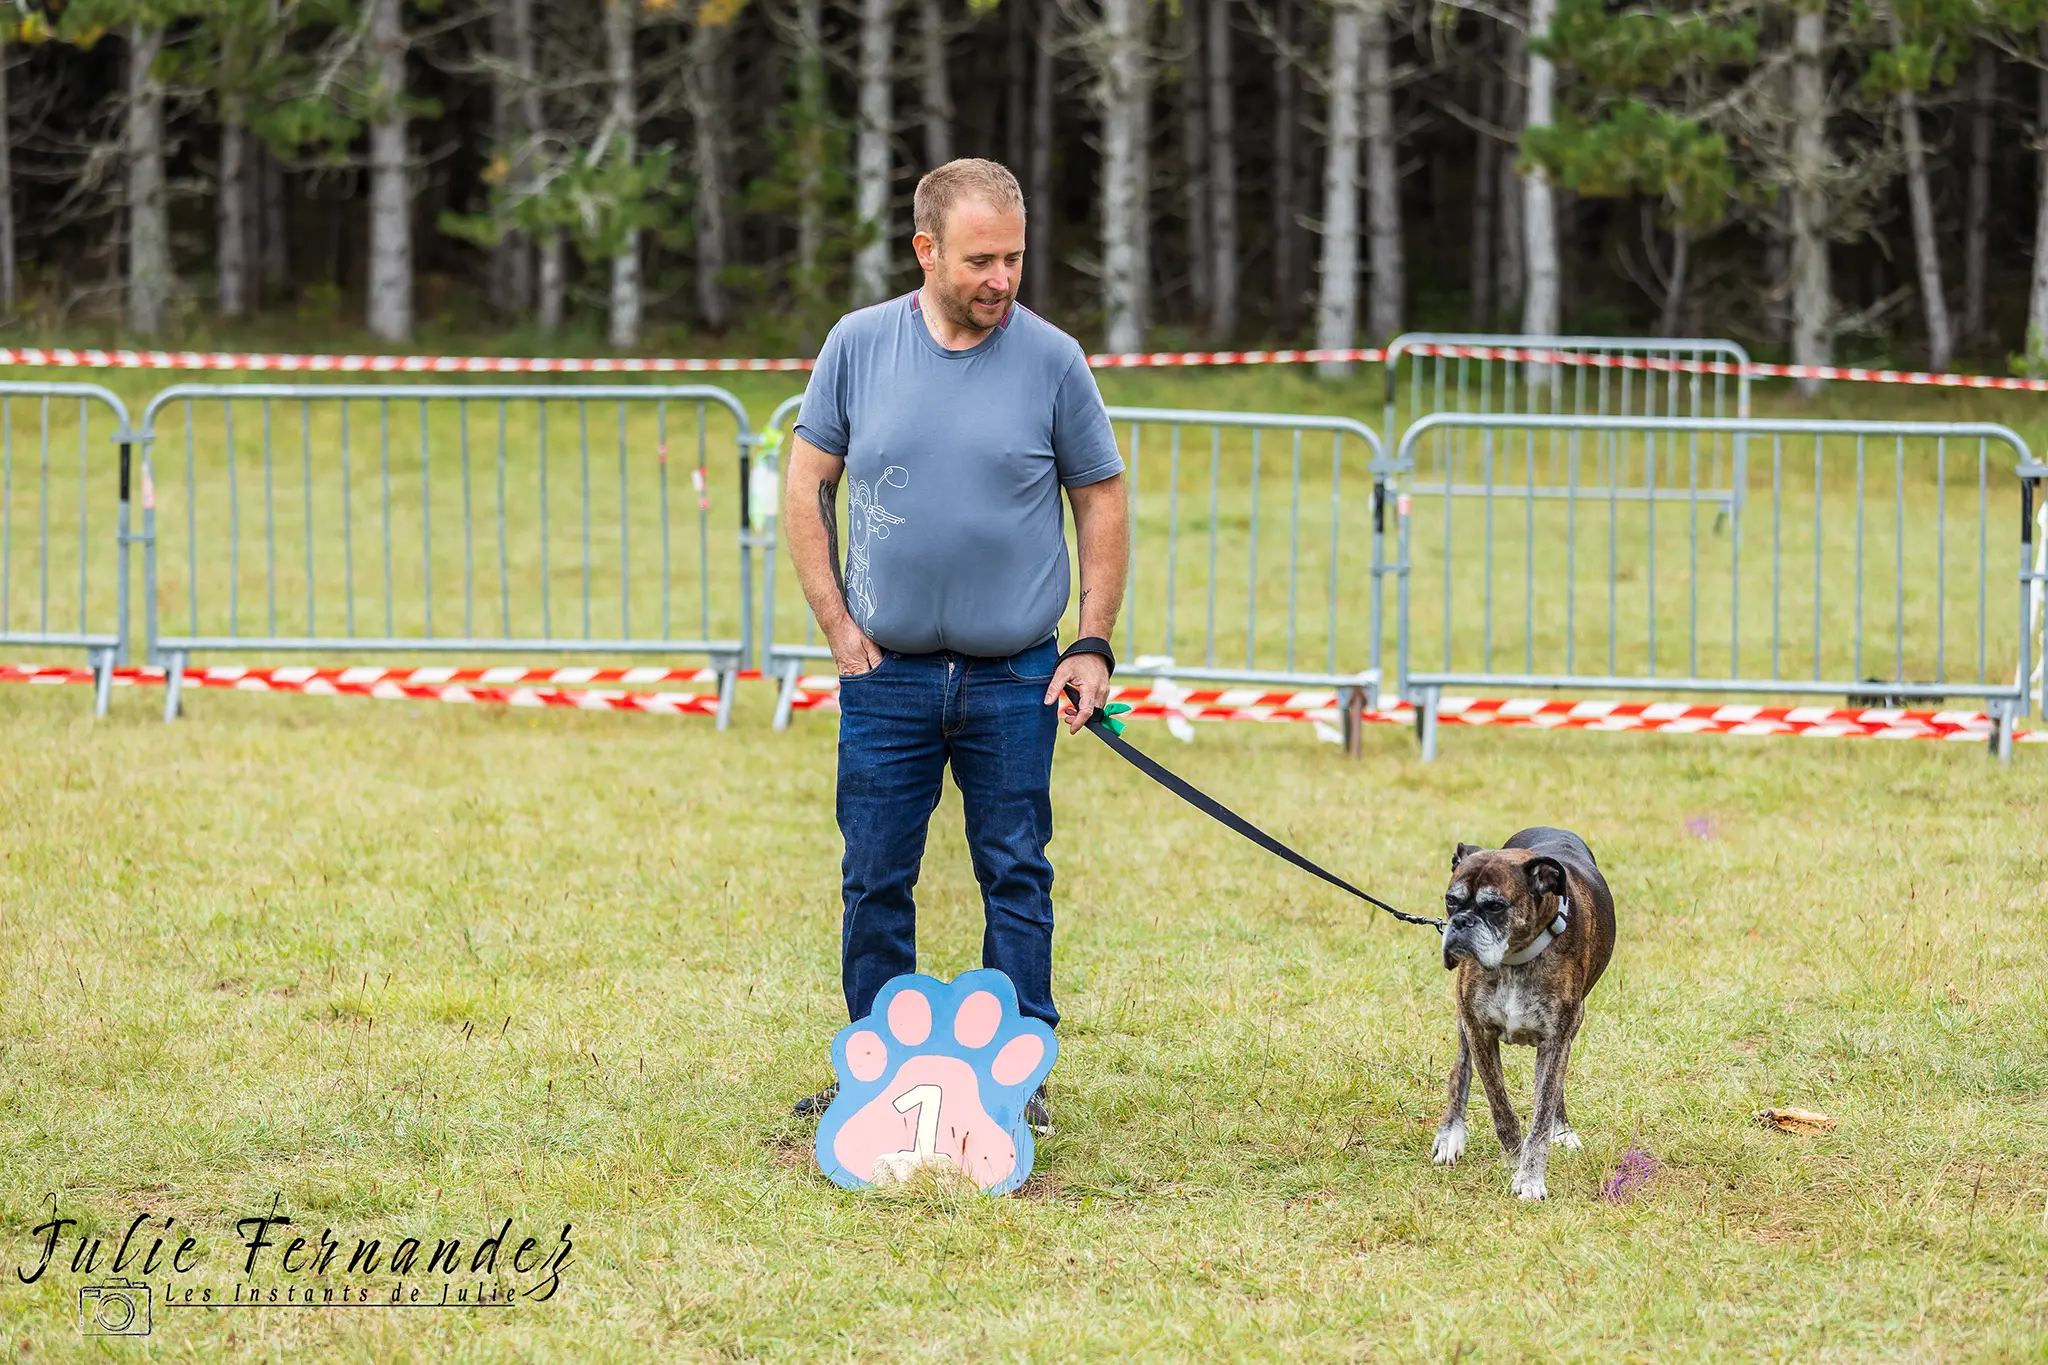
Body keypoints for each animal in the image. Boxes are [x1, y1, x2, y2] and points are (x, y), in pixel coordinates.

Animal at [1433, 826, 1605, 1203]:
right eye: (1451, 901)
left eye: (1495, 906)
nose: (1461, 922)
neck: (1513, 960)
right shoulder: (1478, 1031)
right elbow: (1500, 1106)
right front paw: (1513, 1160)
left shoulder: (1556, 1041)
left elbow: (1541, 1114)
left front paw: (1529, 1178)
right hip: (1465, 1024)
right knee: (1461, 1068)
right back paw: (1451, 1133)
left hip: (1574, 1023)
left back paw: (1561, 1128)